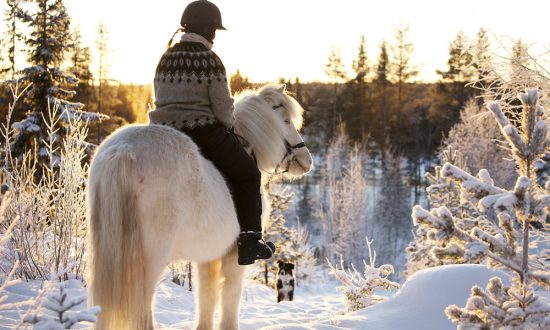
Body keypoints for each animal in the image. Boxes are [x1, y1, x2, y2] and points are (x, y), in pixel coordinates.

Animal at [87, 85, 314, 330]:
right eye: (286, 121)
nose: (307, 160)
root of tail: (123, 151)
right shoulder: (235, 256)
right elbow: (230, 297)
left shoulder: (208, 256)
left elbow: (206, 295)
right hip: (149, 258)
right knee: (142, 307)